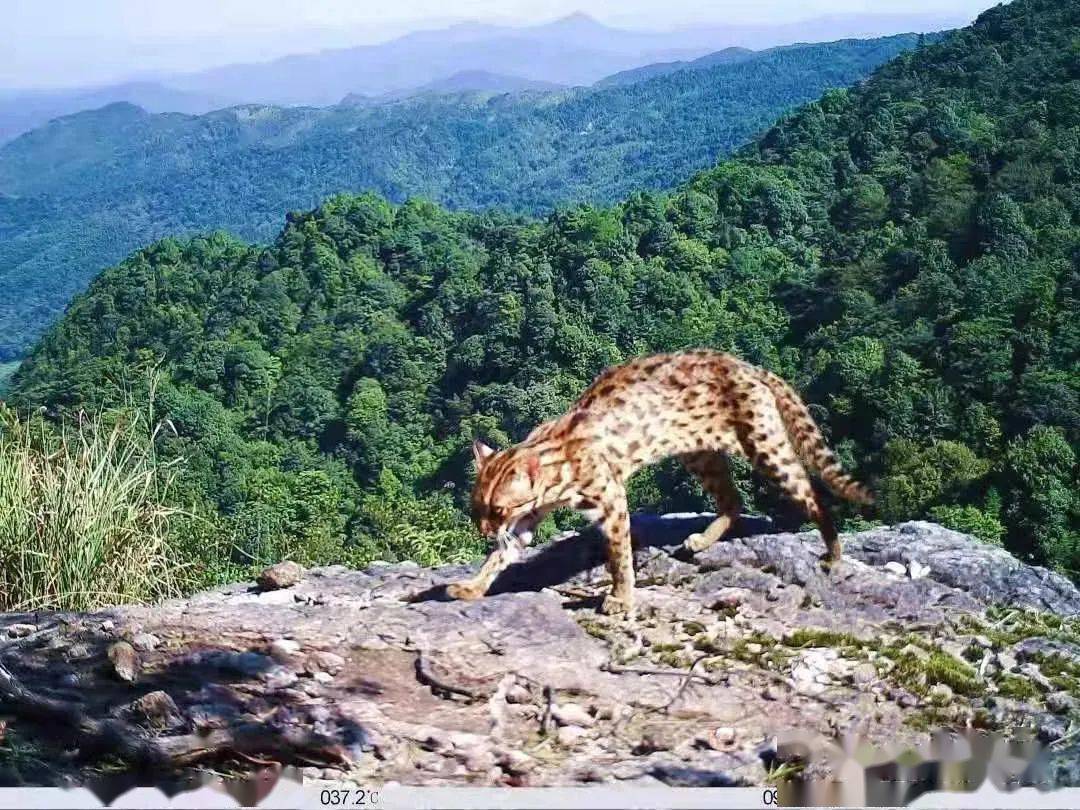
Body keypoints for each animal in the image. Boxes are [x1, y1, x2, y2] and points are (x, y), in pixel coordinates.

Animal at [447, 349, 868, 613]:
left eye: (496, 509)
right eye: (476, 509)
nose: (483, 530)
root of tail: (747, 365)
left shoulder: (610, 498)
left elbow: (618, 556)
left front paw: (620, 597)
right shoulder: (527, 521)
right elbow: (499, 557)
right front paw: (472, 586)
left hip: (767, 448)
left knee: (814, 495)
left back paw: (833, 553)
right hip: (701, 454)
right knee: (733, 501)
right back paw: (702, 540)